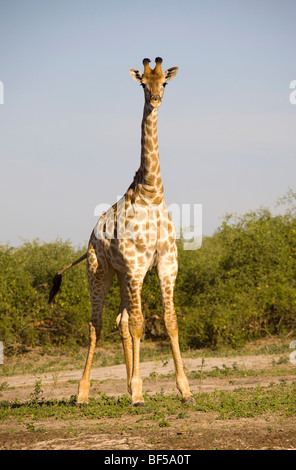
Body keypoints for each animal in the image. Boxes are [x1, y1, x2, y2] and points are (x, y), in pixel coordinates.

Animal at [49, 57, 194, 406]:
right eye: (143, 84)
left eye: (164, 82)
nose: (156, 99)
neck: (151, 193)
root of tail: (89, 240)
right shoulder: (137, 265)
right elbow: (141, 323)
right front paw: (139, 393)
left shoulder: (166, 264)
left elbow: (169, 321)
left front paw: (184, 390)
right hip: (100, 272)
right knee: (96, 324)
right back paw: (82, 393)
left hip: (121, 275)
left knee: (121, 321)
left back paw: (127, 384)